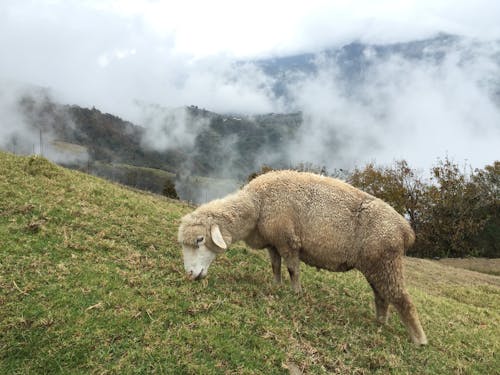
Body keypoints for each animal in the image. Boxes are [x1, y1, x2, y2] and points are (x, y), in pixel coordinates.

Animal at [178, 170, 428, 346]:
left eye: (200, 240)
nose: (190, 275)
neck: (257, 204)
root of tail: (406, 230)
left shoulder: (288, 241)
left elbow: (292, 270)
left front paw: (296, 293)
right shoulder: (274, 243)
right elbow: (275, 266)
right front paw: (276, 285)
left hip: (386, 262)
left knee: (402, 299)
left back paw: (419, 340)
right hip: (376, 265)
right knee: (382, 296)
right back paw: (380, 323)